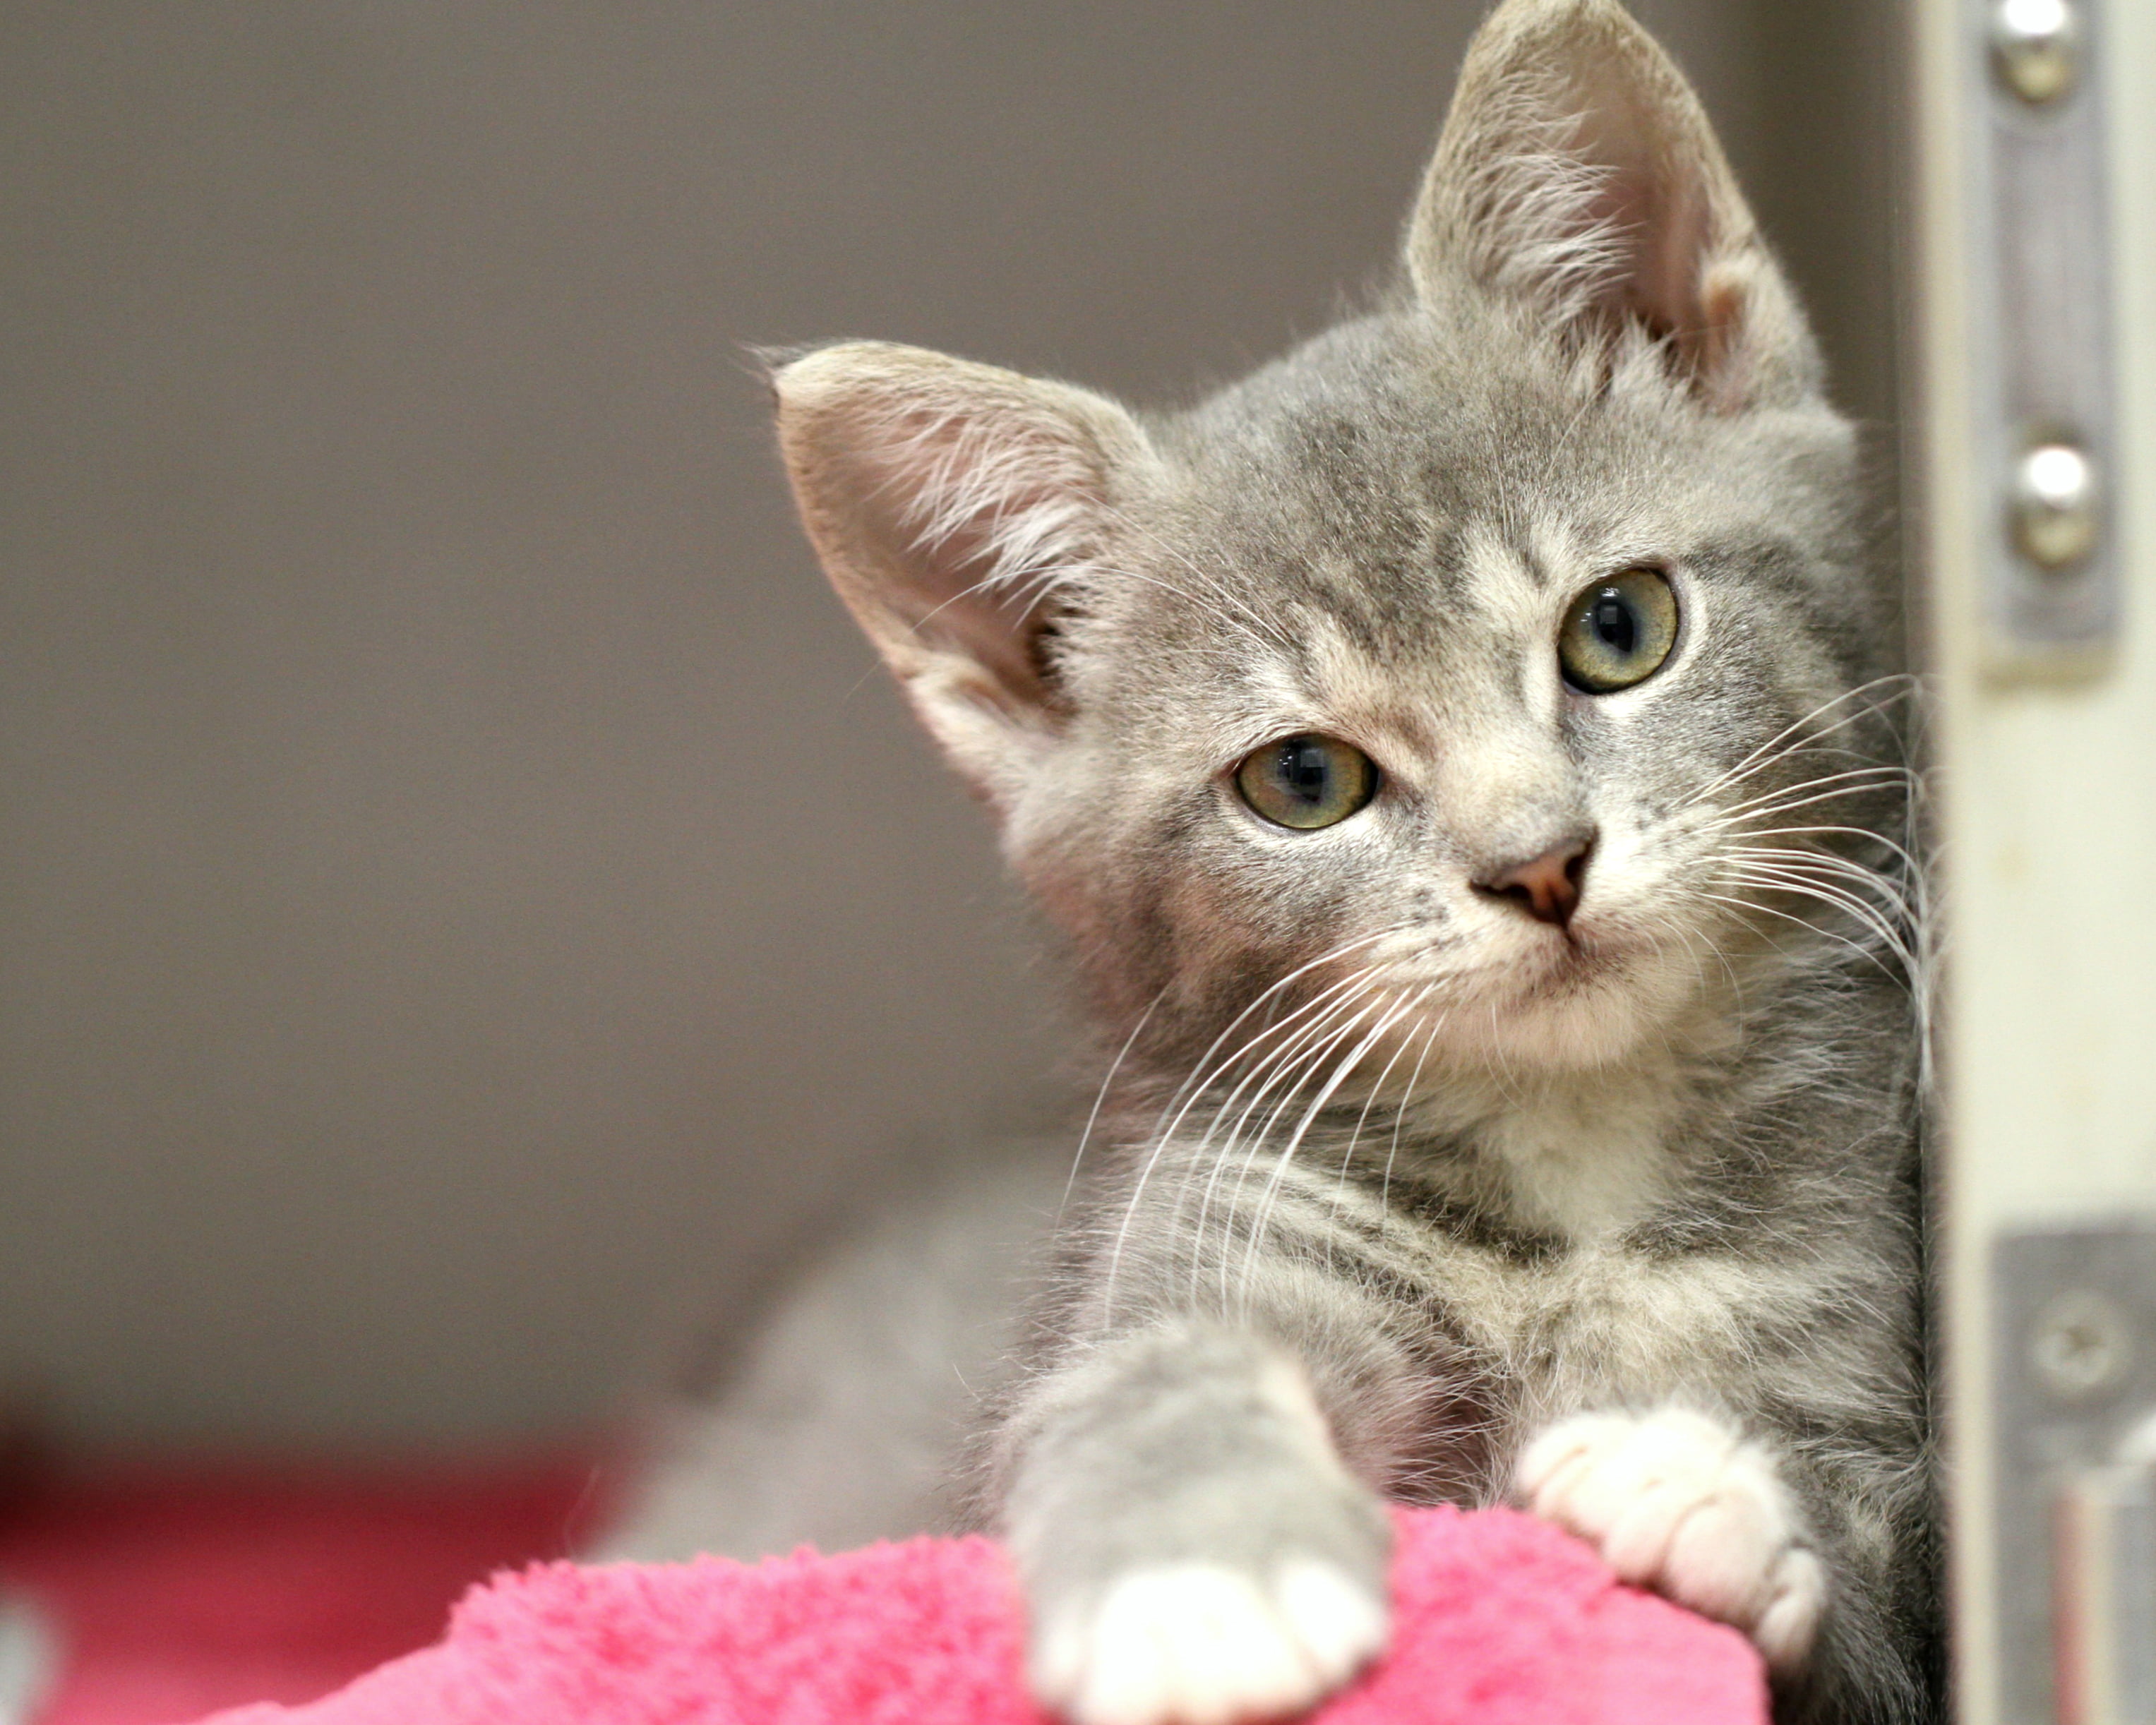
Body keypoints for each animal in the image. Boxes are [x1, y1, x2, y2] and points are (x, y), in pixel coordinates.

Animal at [776, 3, 1940, 1725]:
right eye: (1304, 781)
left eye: (1620, 626)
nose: (1542, 862)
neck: (1583, 1167)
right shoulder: (1207, 1236)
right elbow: (1137, 1381)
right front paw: (1194, 1568)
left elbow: (1888, 1597)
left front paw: (1708, 1504)